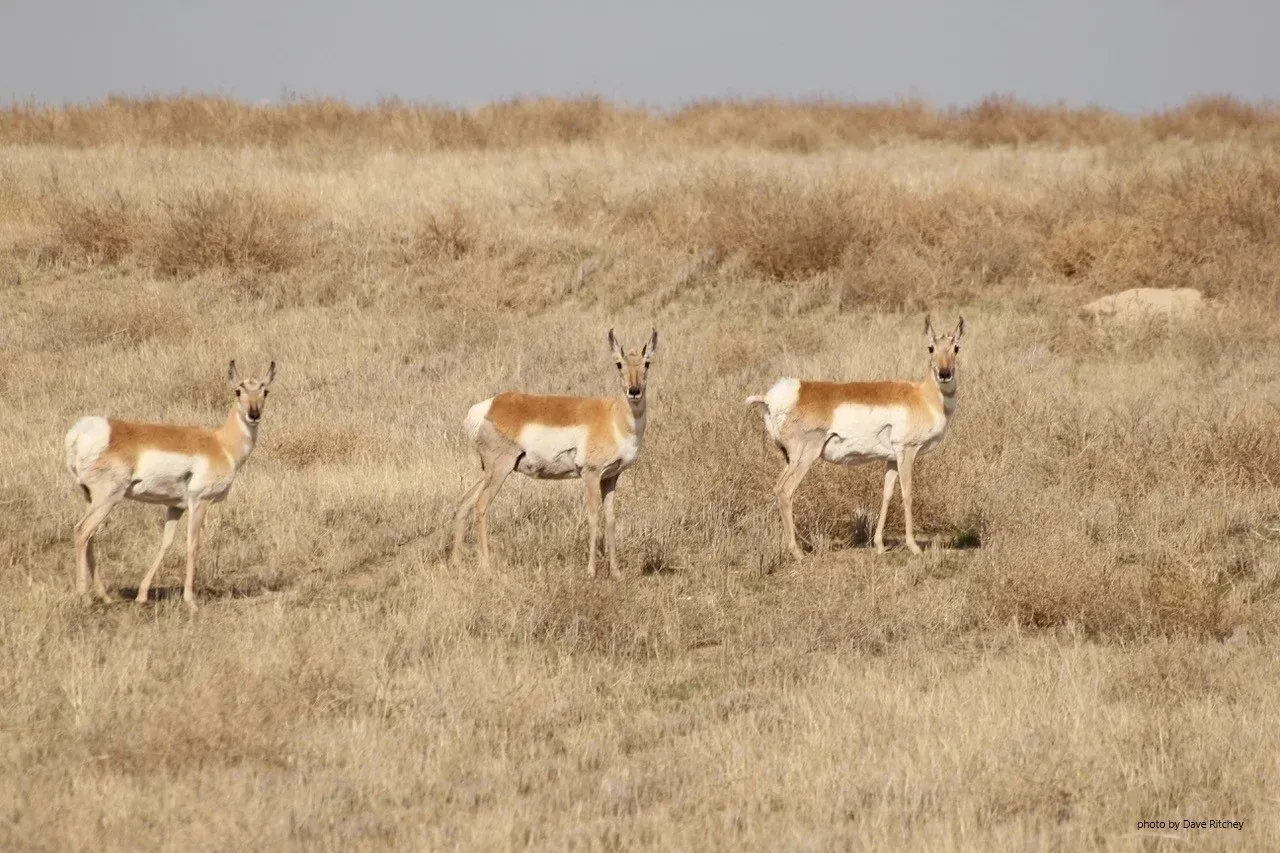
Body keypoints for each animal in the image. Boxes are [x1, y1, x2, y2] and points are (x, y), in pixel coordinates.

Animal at [63, 361, 276, 610]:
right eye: (238, 391)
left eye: (265, 391)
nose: (254, 414)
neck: (221, 443)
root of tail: (82, 432)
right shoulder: (200, 502)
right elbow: (192, 545)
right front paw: (191, 601)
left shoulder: (175, 507)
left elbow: (165, 542)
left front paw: (142, 594)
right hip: (107, 499)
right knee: (82, 531)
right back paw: (85, 597)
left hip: (93, 499)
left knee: (90, 536)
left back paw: (104, 596)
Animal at [451, 329, 658, 578]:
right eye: (619, 363)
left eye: (647, 363)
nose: (634, 391)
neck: (613, 417)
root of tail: (487, 407)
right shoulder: (591, 474)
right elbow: (593, 517)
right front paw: (591, 571)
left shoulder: (610, 477)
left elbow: (610, 519)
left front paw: (616, 573)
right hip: (500, 469)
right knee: (481, 505)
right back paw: (487, 567)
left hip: (488, 472)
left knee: (465, 501)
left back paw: (456, 562)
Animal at [747, 316, 965, 559]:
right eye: (930, 347)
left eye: (956, 347)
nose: (944, 374)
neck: (923, 396)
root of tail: (778, 395)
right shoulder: (907, 452)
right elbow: (907, 493)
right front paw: (914, 546)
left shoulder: (891, 459)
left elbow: (887, 494)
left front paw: (879, 544)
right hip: (805, 457)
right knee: (785, 491)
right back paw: (798, 553)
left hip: (789, 459)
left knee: (778, 488)